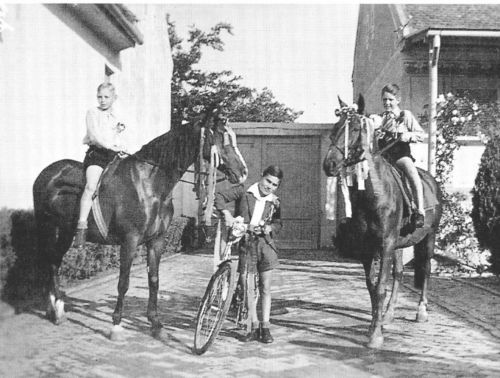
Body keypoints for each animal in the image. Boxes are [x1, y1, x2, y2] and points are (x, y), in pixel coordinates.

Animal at [33, 110, 248, 340]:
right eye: (221, 137)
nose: (243, 172)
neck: (149, 184)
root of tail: (47, 173)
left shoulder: (157, 241)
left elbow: (153, 279)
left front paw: (156, 324)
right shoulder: (130, 241)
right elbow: (123, 282)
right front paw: (116, 325)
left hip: (64, 232)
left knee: (53, 262)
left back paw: (54, 308)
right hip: (50, 229)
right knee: (51, 263)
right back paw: (56, 310)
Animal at [322, 96, 444, 348]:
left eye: (355, 129)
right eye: (335, 128)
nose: (329, 165)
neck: (375, 194)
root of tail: (432, 181)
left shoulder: (385, 244)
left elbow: (379, 287)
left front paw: (376, 335)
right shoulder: (368, 247)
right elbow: (372, 287)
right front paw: (374, 325)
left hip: (429, 236)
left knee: (426, 269)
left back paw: (421, 311)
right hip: (400, 244)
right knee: (399, 273)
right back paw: (388, 315)